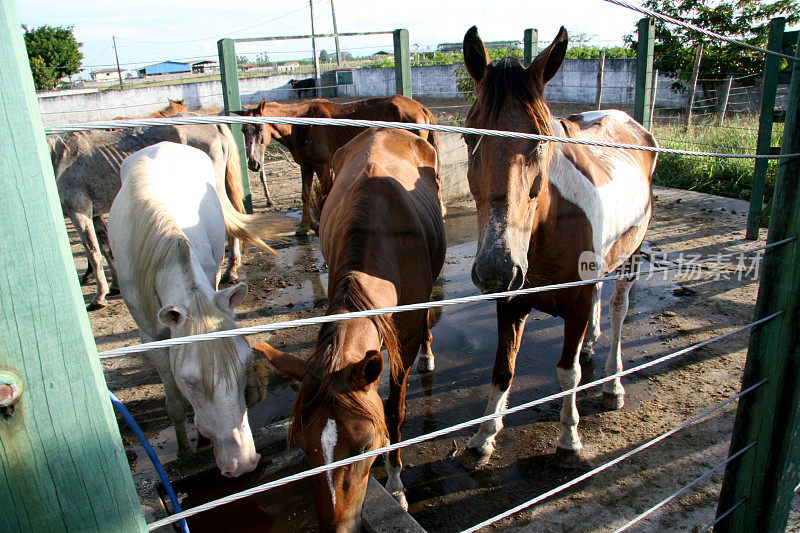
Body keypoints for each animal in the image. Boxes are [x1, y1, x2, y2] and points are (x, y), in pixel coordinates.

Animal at [108, 142, 268, 478]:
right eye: (190, 381)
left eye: (247, 363)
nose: (242, 463)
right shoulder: (150, 336)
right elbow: (174, 402)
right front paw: (183, 451)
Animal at [234, 95, 440, 233]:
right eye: (243, 130)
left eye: (260, 128)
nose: (253, 164)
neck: (302, 126)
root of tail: (420, 107)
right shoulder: (306, 166)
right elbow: (304, 195)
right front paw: (303, 227)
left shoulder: (322, 166)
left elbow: (323, 195)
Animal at [253, 128, 446, 528]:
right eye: (303, 445)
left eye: (364, 445)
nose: (336, 526)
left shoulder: (403, 340)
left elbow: (394, 411)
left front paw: (397, 484)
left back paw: (429, 355)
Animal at [462, 25, 656, 466]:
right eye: (467, 138)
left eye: (540, 141)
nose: (497, 268)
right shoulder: (511, 301)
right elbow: (502, 370)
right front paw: (483, 438)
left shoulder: (576, 301)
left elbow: (568, 372)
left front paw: (569, 438)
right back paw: (592, 344)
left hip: (632, 256)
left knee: (618, 309)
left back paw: (613, 383)